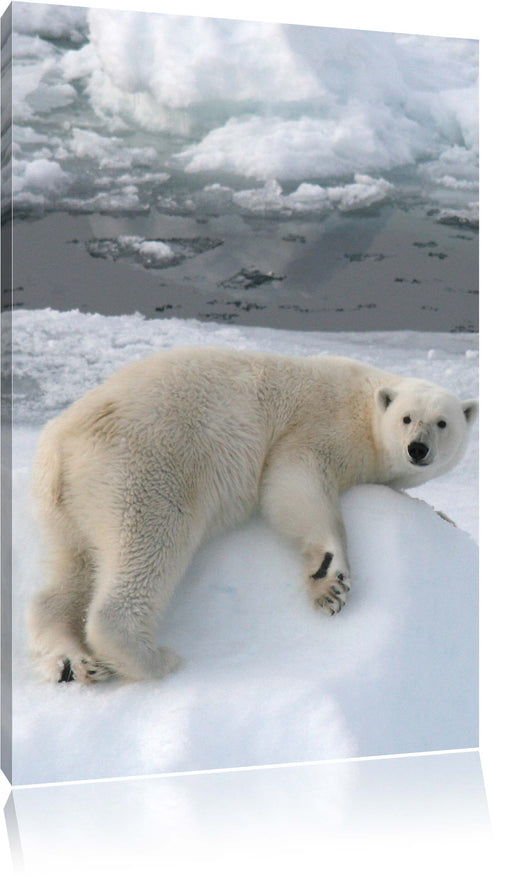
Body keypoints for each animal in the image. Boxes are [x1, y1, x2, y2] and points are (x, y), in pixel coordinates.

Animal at [27, 346, 476, 684]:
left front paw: (445, 516)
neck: (365, 403)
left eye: (442, 423)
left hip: (70, 503)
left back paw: (72, 662)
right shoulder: (320, 424)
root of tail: (60, 442)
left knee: (71, 571)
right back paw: (153, 658)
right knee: (148, 546)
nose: (417, 448)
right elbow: (293, 480)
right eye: (406, 418)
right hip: (144, 467)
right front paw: (331, 581)